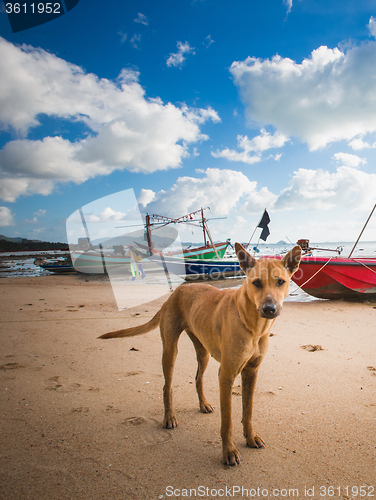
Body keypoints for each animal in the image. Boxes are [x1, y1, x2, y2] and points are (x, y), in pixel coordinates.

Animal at [98, 244, 302, 466]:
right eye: (256, 283)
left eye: (280, 282)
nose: (269, 309)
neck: (253, 326)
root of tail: (176, 291)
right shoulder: (226, 375)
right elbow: (227, 421)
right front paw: (229, 451)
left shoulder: (251, 372)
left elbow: (247, 412)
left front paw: (250, 437)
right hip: (170, 349)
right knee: (167, 386)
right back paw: (169, 417)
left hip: (203, 351)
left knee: (197, 378)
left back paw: (203, 404)